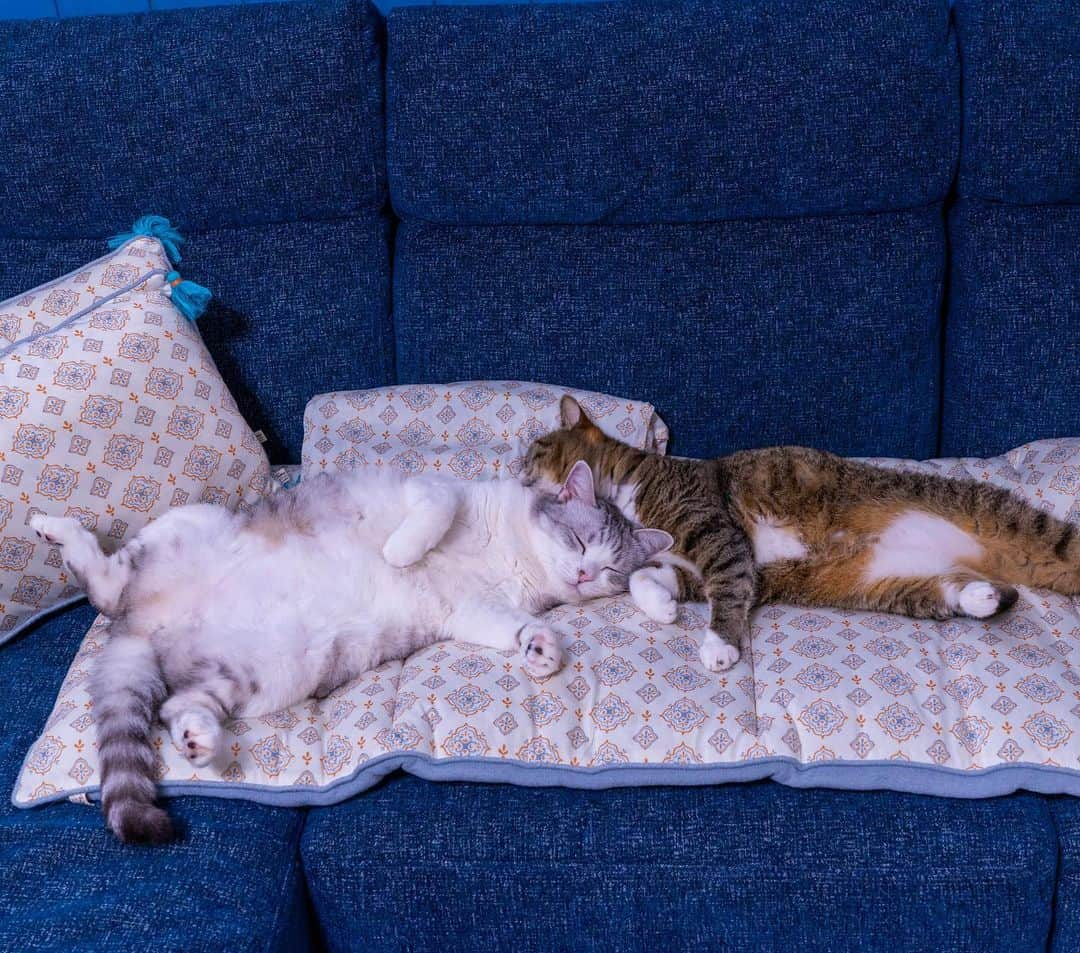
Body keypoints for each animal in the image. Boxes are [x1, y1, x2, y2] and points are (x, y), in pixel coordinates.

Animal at [33, 460, 669, 838]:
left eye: (611, 569)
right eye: (579, 540)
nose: (584, 576)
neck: (516, 554)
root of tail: (140, 627)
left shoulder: (475, 608)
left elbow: (514, 627)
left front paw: (541, 648)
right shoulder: (436, 487)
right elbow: (434, 511)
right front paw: (402, 551)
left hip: (258, 674)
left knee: (173, 703)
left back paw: (198, 739)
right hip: (189, 525)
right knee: (108, 583)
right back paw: (55, 527)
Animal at [524, 397, 1080, 674]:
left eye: (535, 451)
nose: (519, 473)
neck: (632, 483)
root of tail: (993, 558)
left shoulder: (718, 533)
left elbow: (727, 587)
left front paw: (720, 646)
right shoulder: (690, 563)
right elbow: (650, 577)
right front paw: (662, 608)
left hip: (1008, 520)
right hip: (897, 585)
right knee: (961, 592)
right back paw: (983, 595)